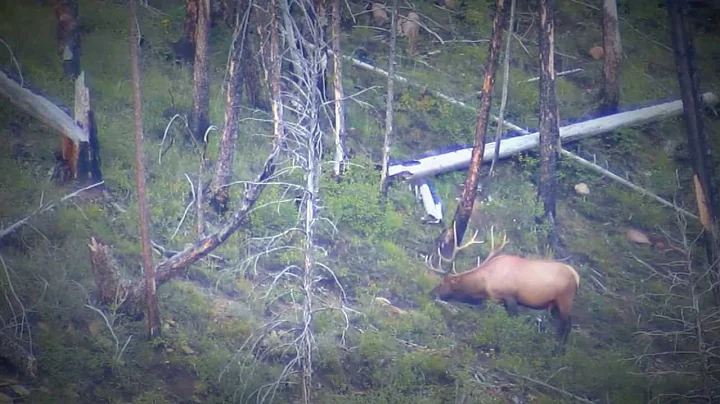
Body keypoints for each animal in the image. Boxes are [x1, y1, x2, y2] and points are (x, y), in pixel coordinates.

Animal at [425, 225, 581, 352]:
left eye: (442, 283)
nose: (431, 293)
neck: (484, 284)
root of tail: (576, 276)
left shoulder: (509, 297)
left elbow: (513, 321)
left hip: (565, 299)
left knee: (567, 325)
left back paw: (559, 351)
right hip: (554, 305)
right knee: (561, 326)